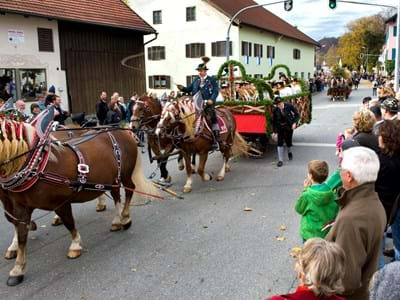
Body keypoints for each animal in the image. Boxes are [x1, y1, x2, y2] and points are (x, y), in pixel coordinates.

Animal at [0, 110, 158, 286]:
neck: (37, 166)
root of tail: (121, 130)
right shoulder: (20, 206)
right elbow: (20, 233)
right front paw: (17, 269)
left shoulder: (60, 203)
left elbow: (69, 223)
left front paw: (75, 245)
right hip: (112, 179)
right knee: (117, 194)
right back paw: (117, 220)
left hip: (124, 174)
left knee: (129, 190)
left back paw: (125, 217)